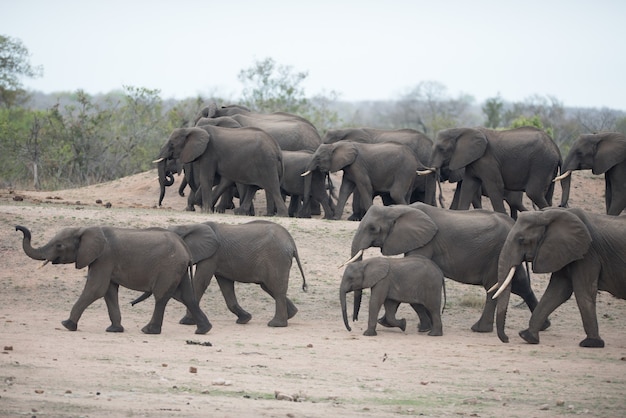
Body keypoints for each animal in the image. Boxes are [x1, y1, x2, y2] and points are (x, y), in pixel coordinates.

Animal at [13, 224, 210, 334]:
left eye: (59, 245)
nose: (17, 228)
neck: (84, 229)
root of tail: (185, 247)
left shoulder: (104, 258)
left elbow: (95, 289)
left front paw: (67, 325)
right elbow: (108, 291)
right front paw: (114, 330)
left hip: (169, 267)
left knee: (161, 296)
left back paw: (148, 331)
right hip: (178, 269)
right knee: (186, 297)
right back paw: (203, 330)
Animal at [155, 125, 286, 217]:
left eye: (172, 144)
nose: (160, 205)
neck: (193, 129)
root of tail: (277, 149)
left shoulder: (209, 153)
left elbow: (207, 178)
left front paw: (205, 211)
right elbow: (216, 179)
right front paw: (203, 206)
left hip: (267, 164)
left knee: (273, 187)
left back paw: (281, 215)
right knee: (252, 188)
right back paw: (239, 212)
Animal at [346, 202, 544, 334]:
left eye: (373, 228)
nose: (354, 320)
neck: (399, 209)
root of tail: (512, 223)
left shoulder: (426, 241)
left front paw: (422, 327)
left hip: (496, 254)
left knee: (493, 289)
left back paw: (479, 329)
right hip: (508, 253)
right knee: (519, 284)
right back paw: (543, 326)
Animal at [422, 125, 560, 214]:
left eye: (442, 149)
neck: (463, 130)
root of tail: (556, 147)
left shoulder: (487, 161)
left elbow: (495, 186)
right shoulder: (472, 162)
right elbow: (468, 186)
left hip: (541, 164)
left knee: (532, 193)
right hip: (548, 168)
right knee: (546, 196)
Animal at [492, 207, 624, 348]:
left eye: (522, 240)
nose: (506, 339)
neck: (547, 214)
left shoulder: (588, 254)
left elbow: (583, 291)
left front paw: (591, 343)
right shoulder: (564, 252)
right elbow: (557, 292)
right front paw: (527, 337)